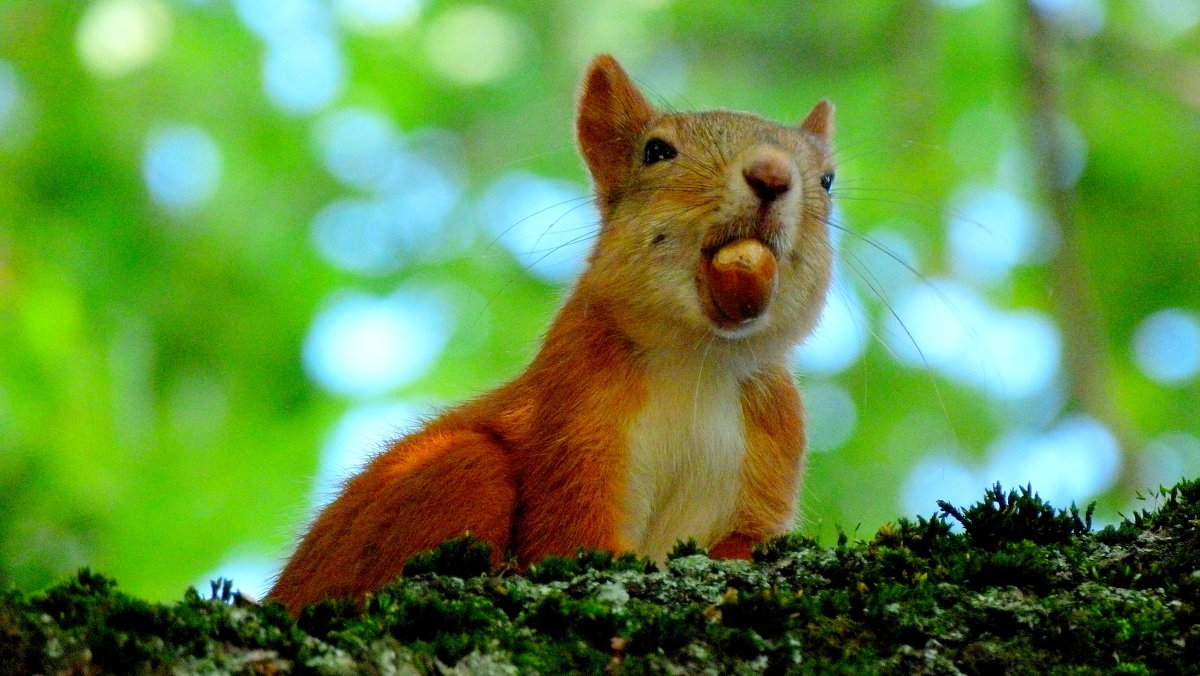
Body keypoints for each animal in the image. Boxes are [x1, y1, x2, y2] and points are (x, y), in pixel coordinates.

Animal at [270, 54, 835, 614]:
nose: (771, 174)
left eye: (828, 179)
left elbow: (746, 546)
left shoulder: (775, 442)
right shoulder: (572, 420)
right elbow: (570, 538)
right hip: (452, 473)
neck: (697, 359)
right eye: (656, 151)